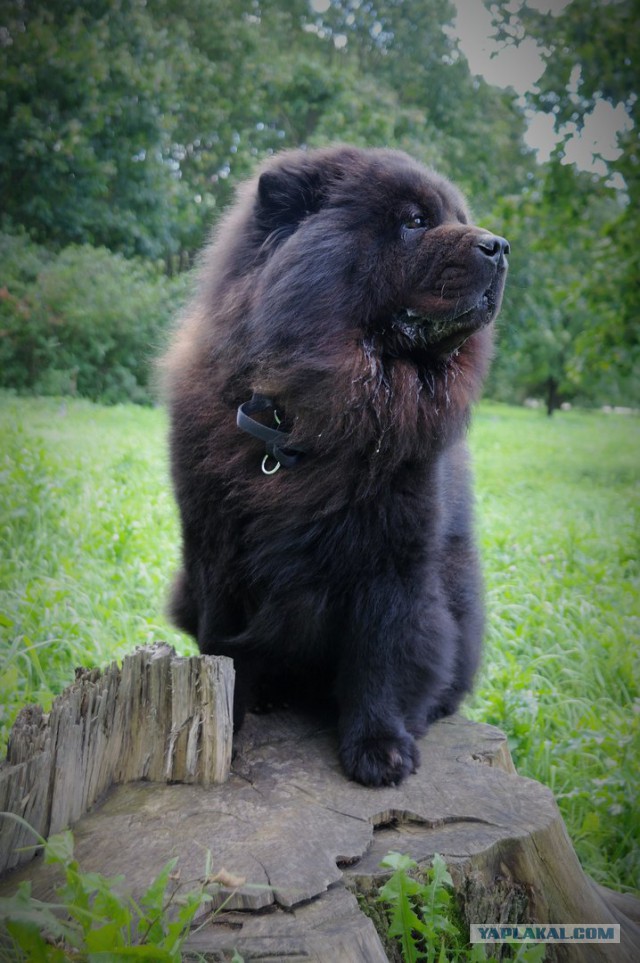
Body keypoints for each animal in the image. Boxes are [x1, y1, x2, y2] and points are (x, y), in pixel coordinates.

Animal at [165, 145, 510, 792]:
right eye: (415, 222)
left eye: (458, 217)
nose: (499, 245)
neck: (311, 420)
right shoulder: (214, 549)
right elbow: (225, 647)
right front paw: (228, 729)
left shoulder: (391, 559)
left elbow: (380, 657)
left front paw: (380, 749)